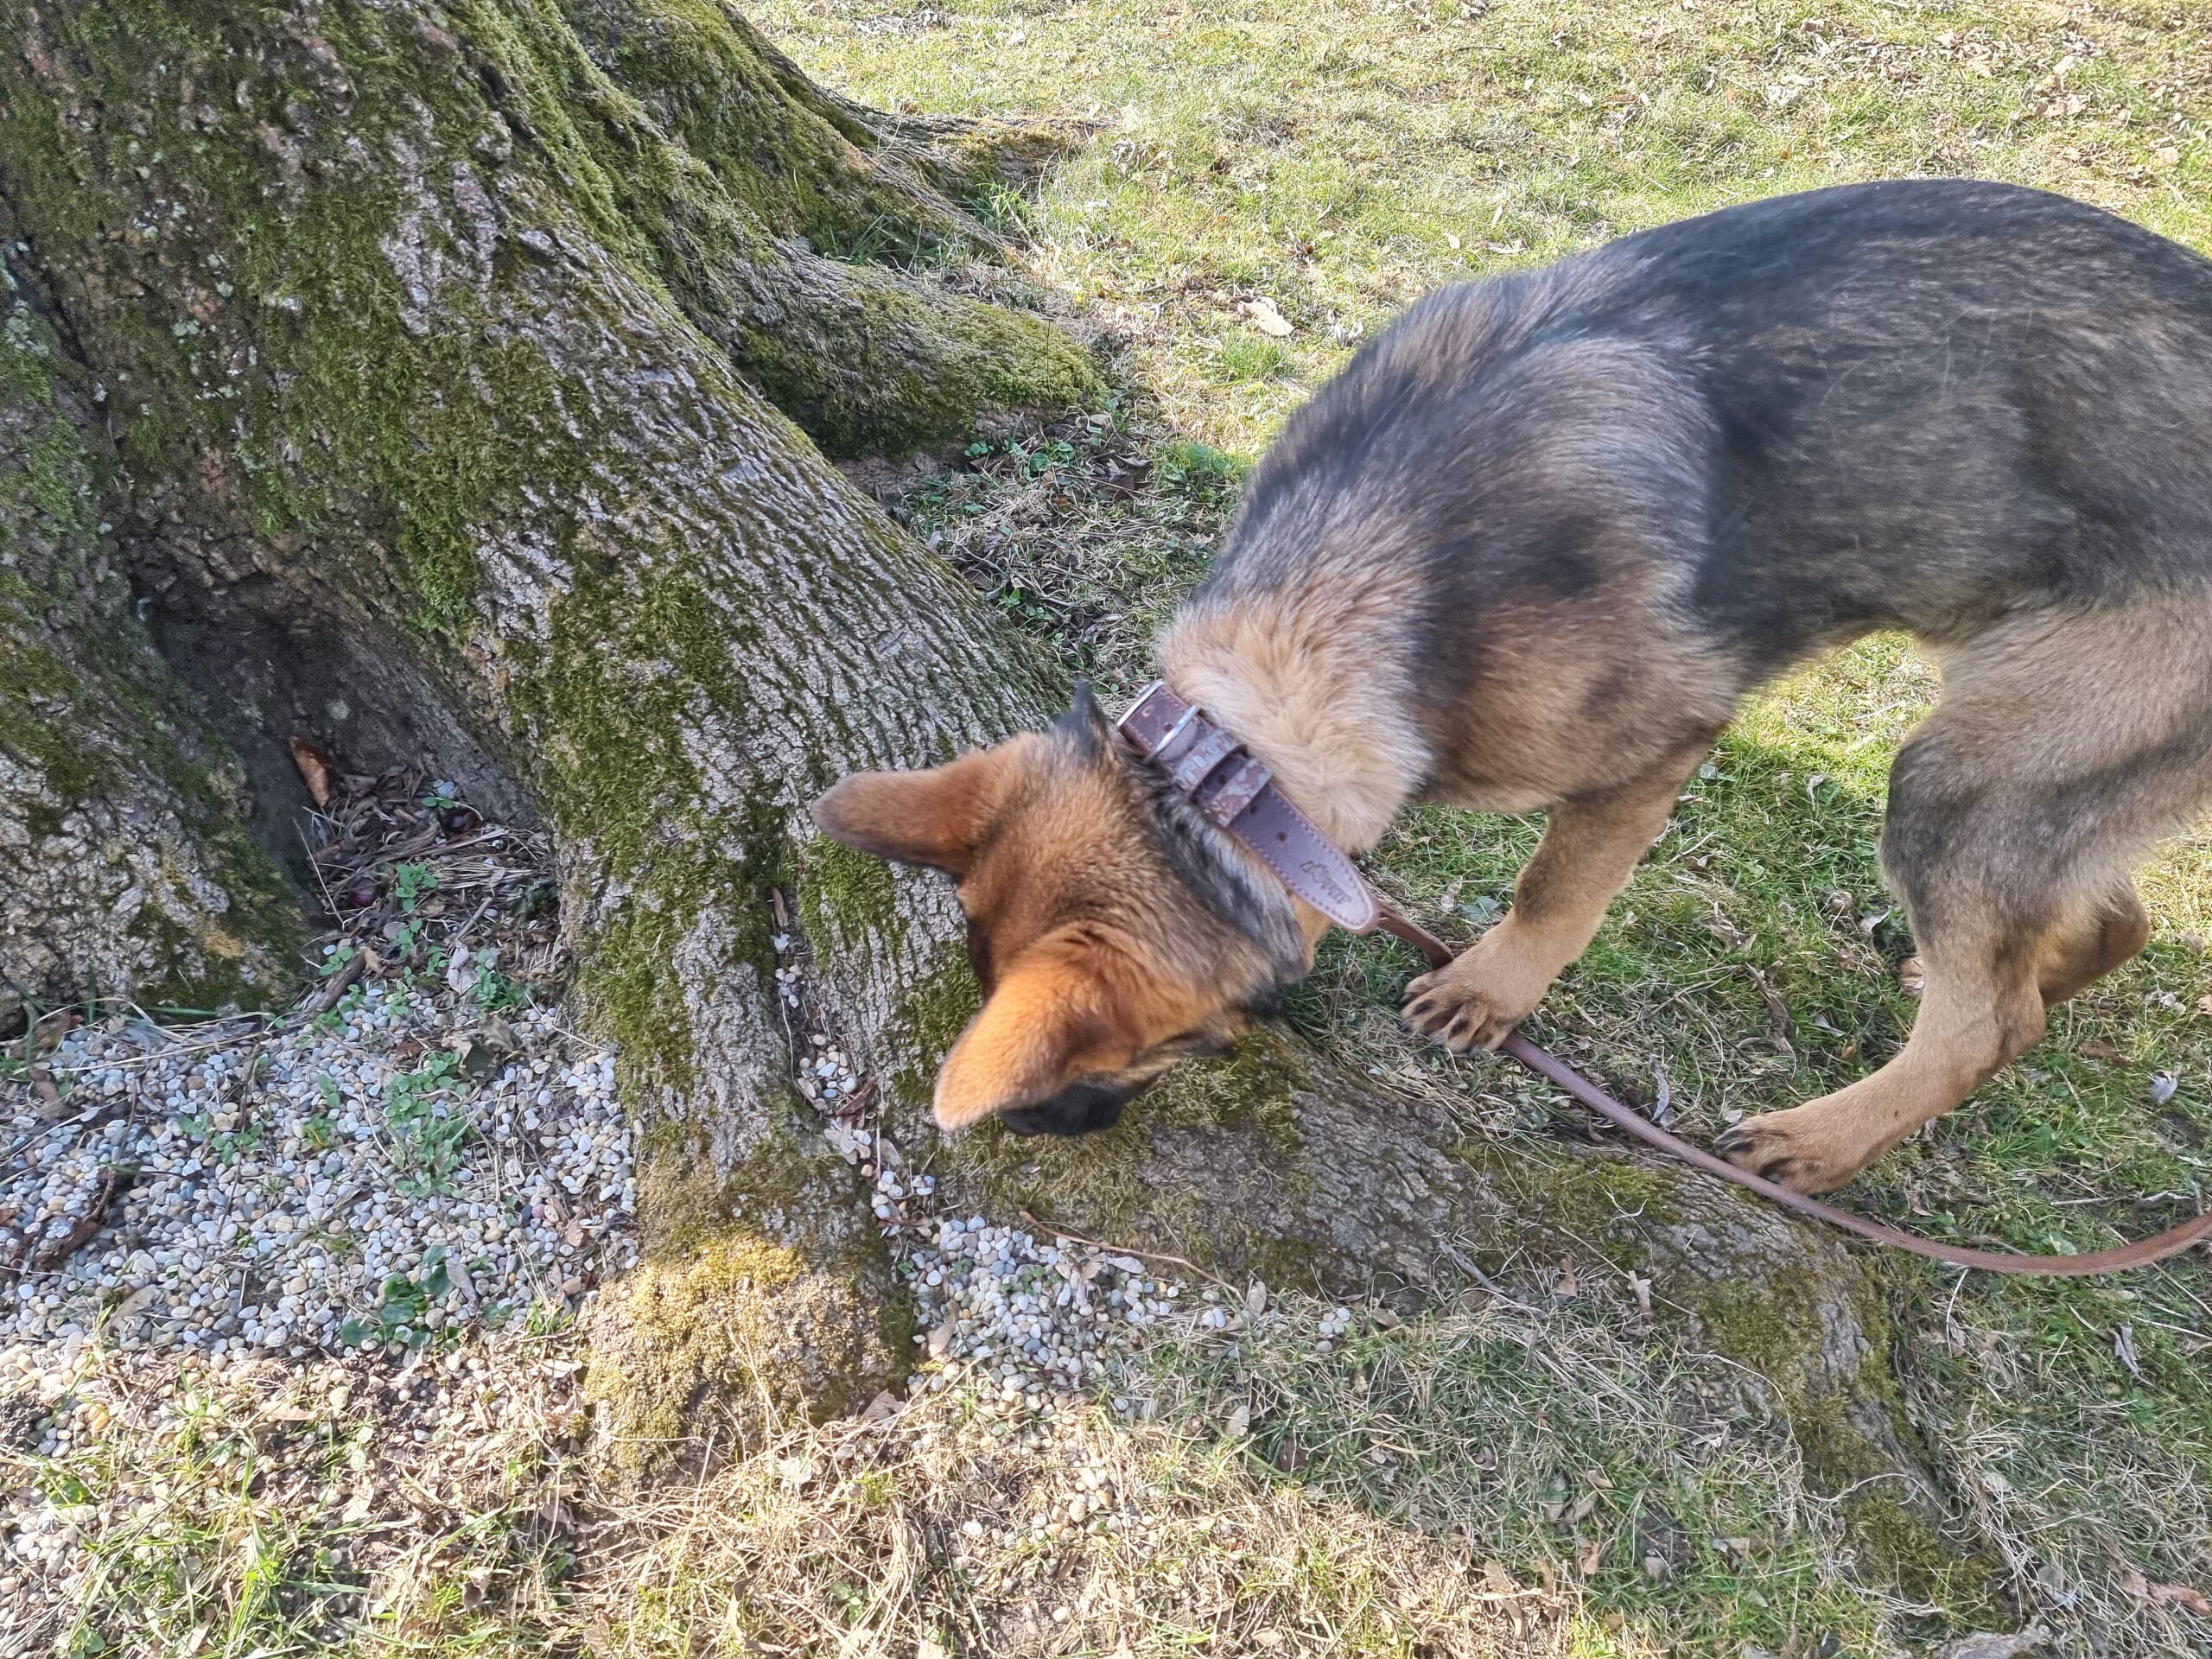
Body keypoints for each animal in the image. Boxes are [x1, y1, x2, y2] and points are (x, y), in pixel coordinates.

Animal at [813, 179, 2212, 1195]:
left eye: (1126, 1051)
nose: (1035, 1140)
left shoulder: (1648, 753)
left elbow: (1554, 890)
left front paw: (1492, 991)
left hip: (1957, 776)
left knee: (1995, 1023)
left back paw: (1826, 1138)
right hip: (2031, 759)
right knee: (2084, 935)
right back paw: (1970, 977)